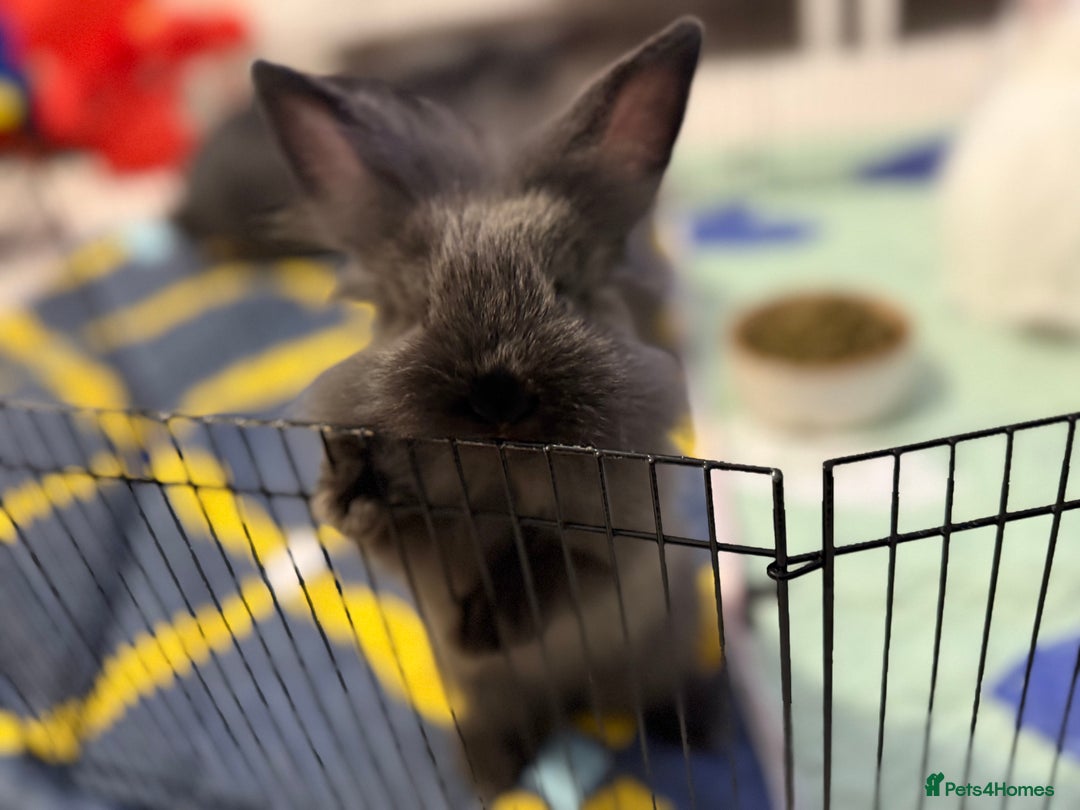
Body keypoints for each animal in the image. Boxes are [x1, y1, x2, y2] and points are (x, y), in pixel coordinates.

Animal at [252, 17, 714, 798]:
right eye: (415, 307)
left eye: (566, 290)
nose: (498, 392)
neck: (500, 476)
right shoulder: (420, 555)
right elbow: (399, 539)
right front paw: (351, 482)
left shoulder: (619, 549)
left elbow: (555, 566)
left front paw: (490, 627)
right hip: (488, 698)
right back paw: (489, 776)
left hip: (659, 651)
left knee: (654, 694)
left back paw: (697, 731)